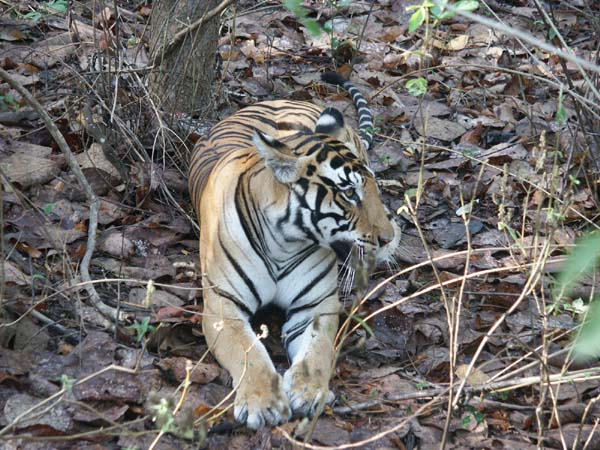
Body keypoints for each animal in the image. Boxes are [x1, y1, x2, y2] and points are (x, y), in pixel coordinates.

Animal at [188, 73, 400, 428]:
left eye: (374, 190)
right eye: (349, 193)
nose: (387, 238)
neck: (283, 243)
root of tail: (281, 99)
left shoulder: (315, 305)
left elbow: (318, 350)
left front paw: (308, 391)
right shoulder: (222, 305)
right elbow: (247, 350)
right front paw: (263, 403)